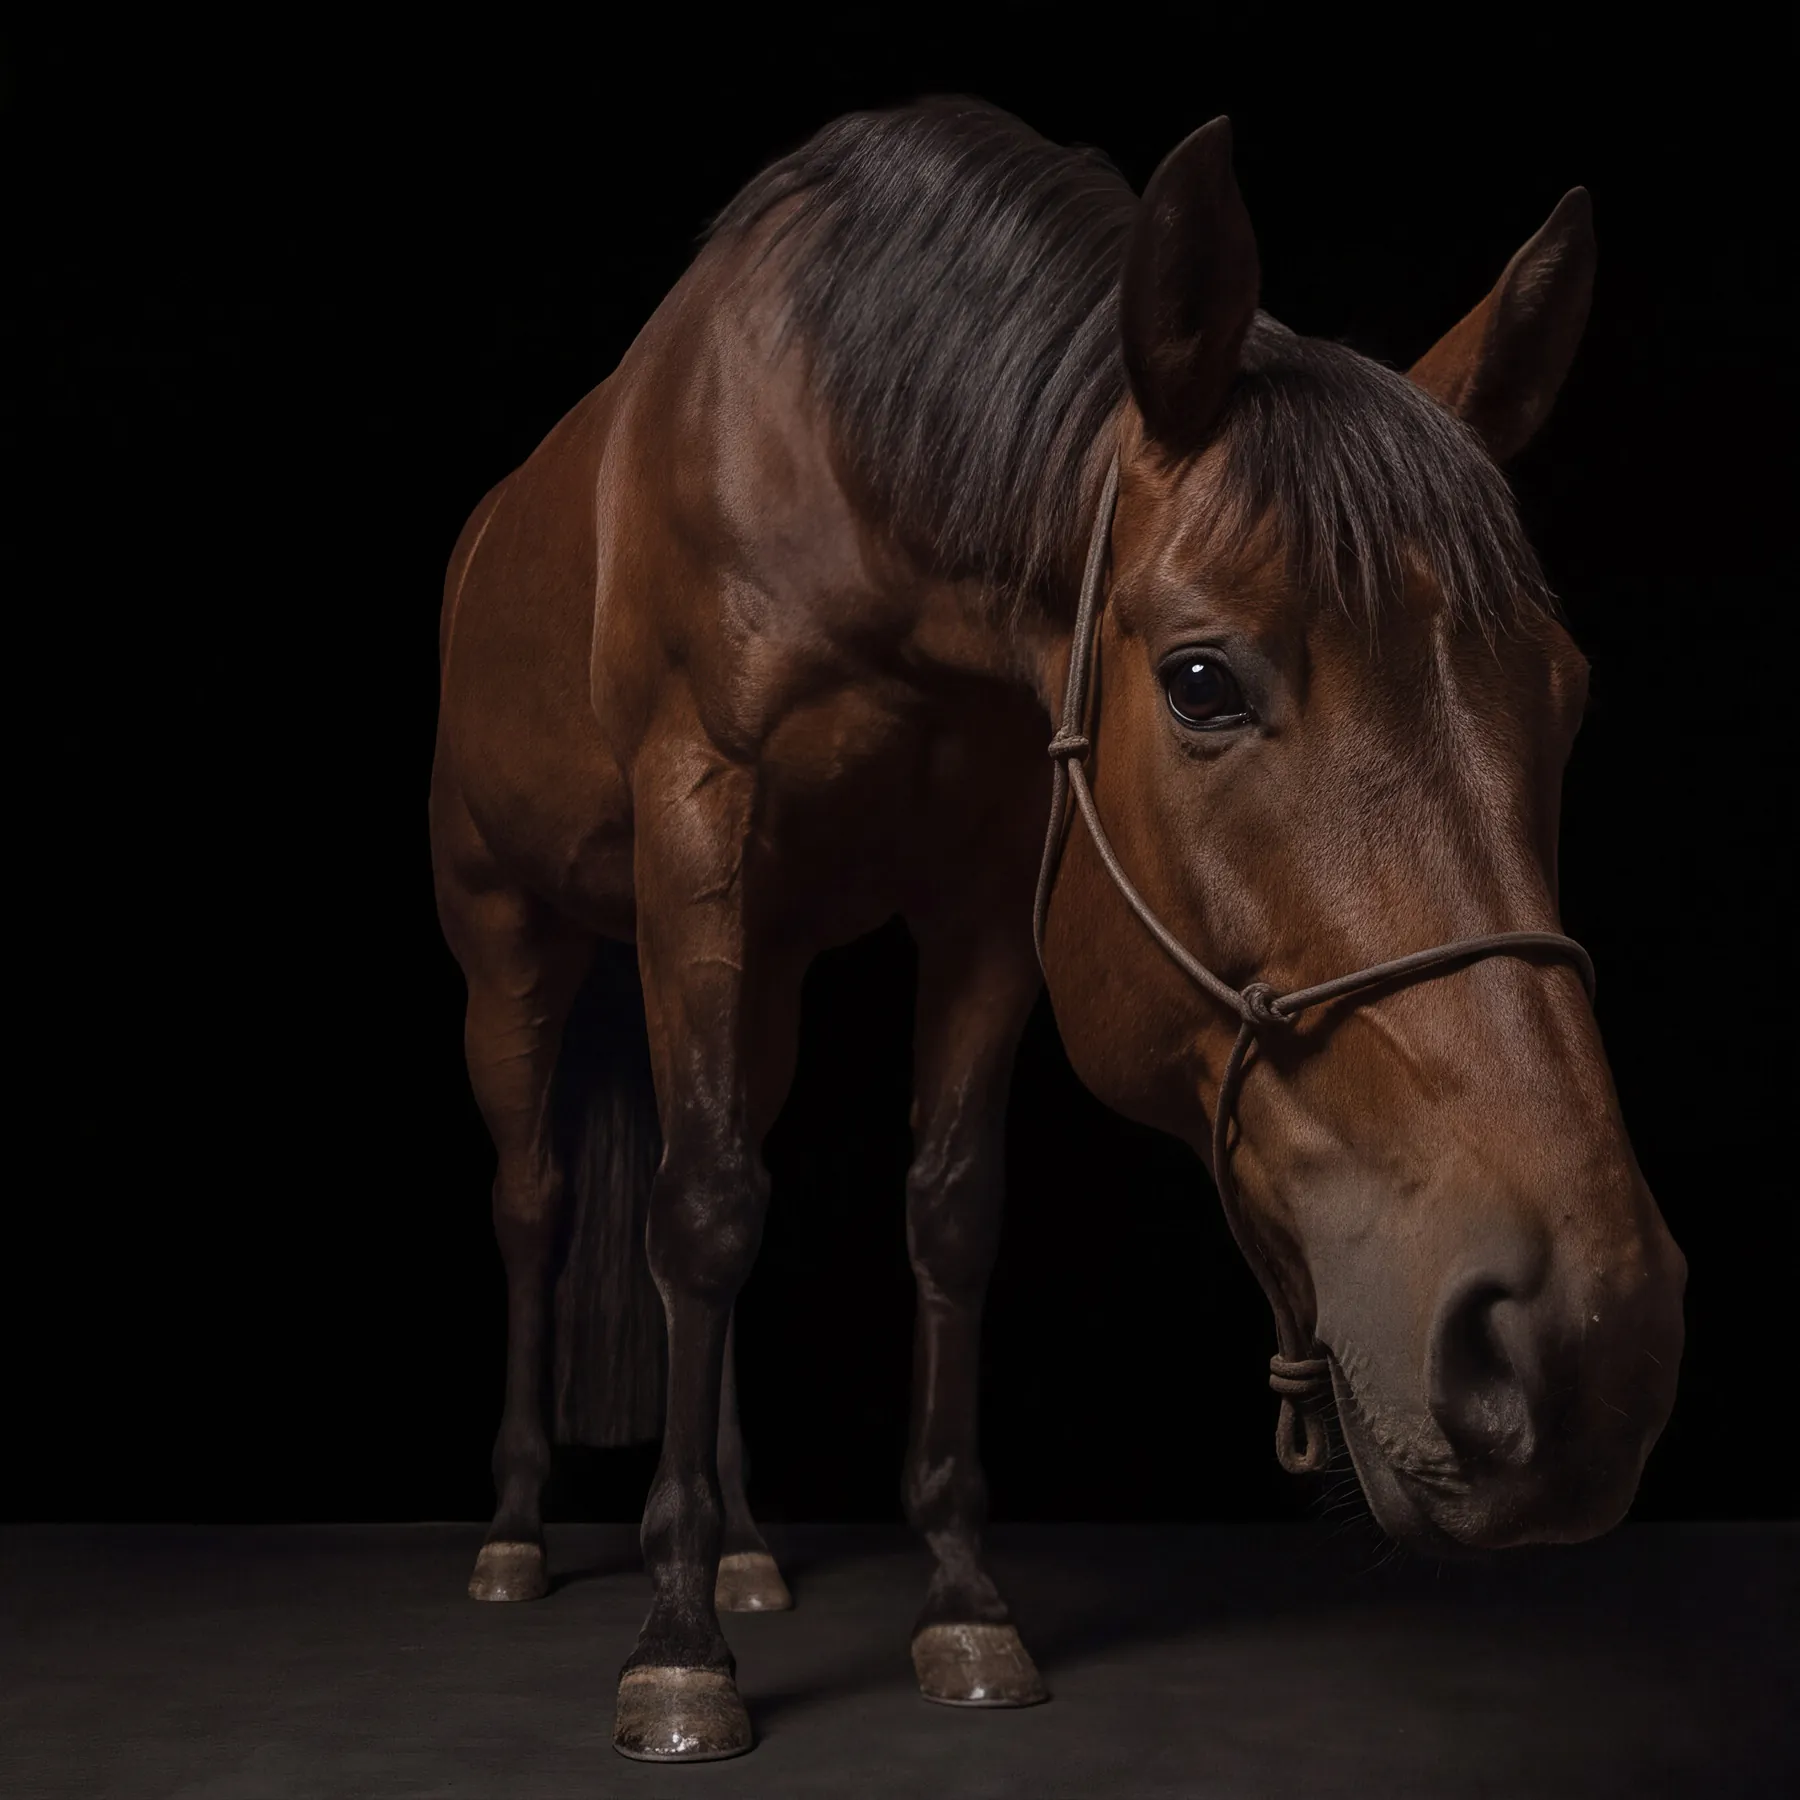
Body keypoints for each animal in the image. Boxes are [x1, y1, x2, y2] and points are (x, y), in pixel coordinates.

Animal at [429, 97, 1685, 1763]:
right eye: (1204, 680)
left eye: (1566, 694)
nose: (1591, 1342)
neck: (845, 453)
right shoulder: (698, 827)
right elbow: (691, 1214)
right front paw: (680, 1644)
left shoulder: (985, 900)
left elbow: (942, 1214)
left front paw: (961, 1604)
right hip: (510, 938)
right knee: (541, 1203)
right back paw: (521, 1532)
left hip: (759, 972)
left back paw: (752, 1545)